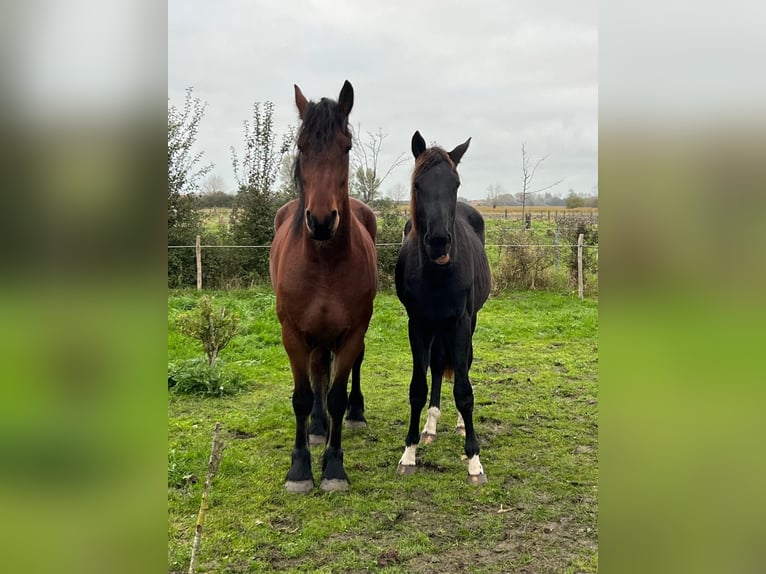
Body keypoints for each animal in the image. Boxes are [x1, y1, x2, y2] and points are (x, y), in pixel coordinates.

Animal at [270, 82, 378, 496]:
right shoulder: (293, 334)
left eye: (345, 147)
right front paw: (300, 469)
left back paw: (354, 415)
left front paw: (333, 467)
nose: (319, 221)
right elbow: (303, 397)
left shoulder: (351, 333)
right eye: (302, 146)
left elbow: (336, 396)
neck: (325, 264)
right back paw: (316, 428)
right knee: (316, 371)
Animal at [396, 132, 492, 486]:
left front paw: (474, 460)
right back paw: (430, 425)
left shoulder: (460, 322)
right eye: (418, 184)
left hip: (468, 321)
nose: (438, 241)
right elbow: (418, 387)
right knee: (437, 365)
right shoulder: (418, 323)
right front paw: (409, 453)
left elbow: (464, 389)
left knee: (463, 365)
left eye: (456, 183)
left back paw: (462, 424)